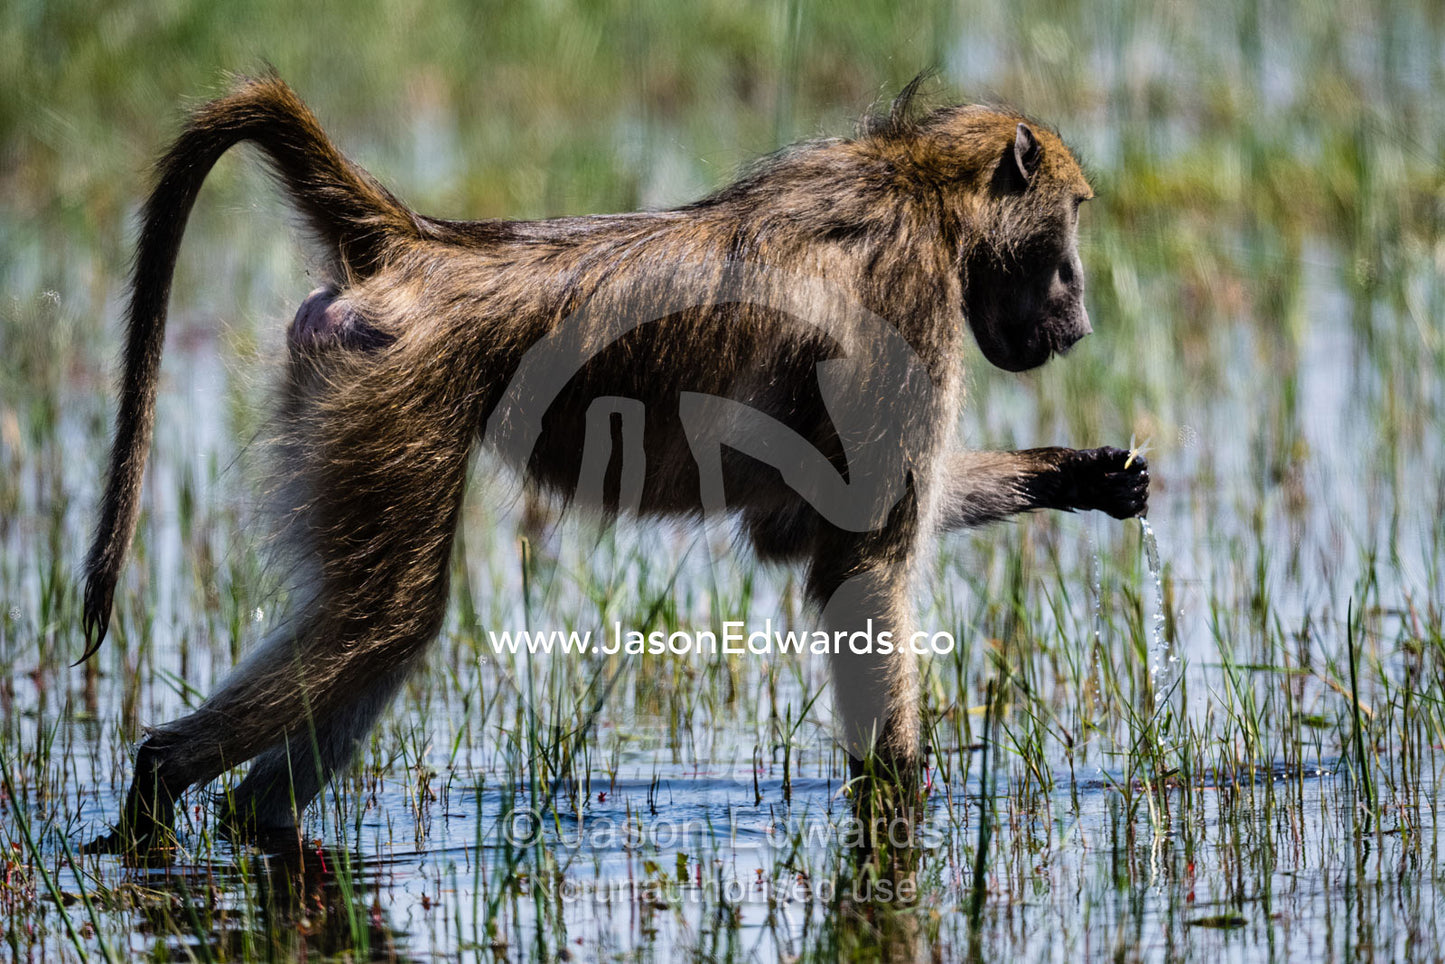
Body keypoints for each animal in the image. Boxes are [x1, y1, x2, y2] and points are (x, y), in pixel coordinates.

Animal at [80, 73, 1147, 851]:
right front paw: (899, 807)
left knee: (378, 635)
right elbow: (863, 563)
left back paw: (244, 822)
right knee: (385, 618)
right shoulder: (906, 304)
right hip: (397, 397)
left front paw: (1083, 473)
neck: (920, 186)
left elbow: (804, 528)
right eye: (1067, 225)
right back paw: (156, 790)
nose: (1081, 322)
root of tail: (422, 249)